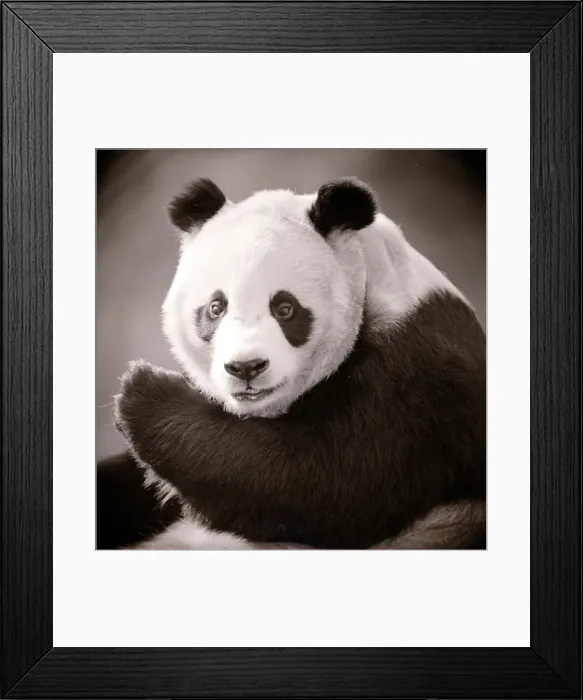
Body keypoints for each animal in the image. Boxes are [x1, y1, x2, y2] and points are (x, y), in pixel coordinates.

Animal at [101, 176, 486, 550]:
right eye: (216, 307)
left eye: (285, 308)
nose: (246, 368)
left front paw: (145, 392)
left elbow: (328, 480)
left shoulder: (420, 373)